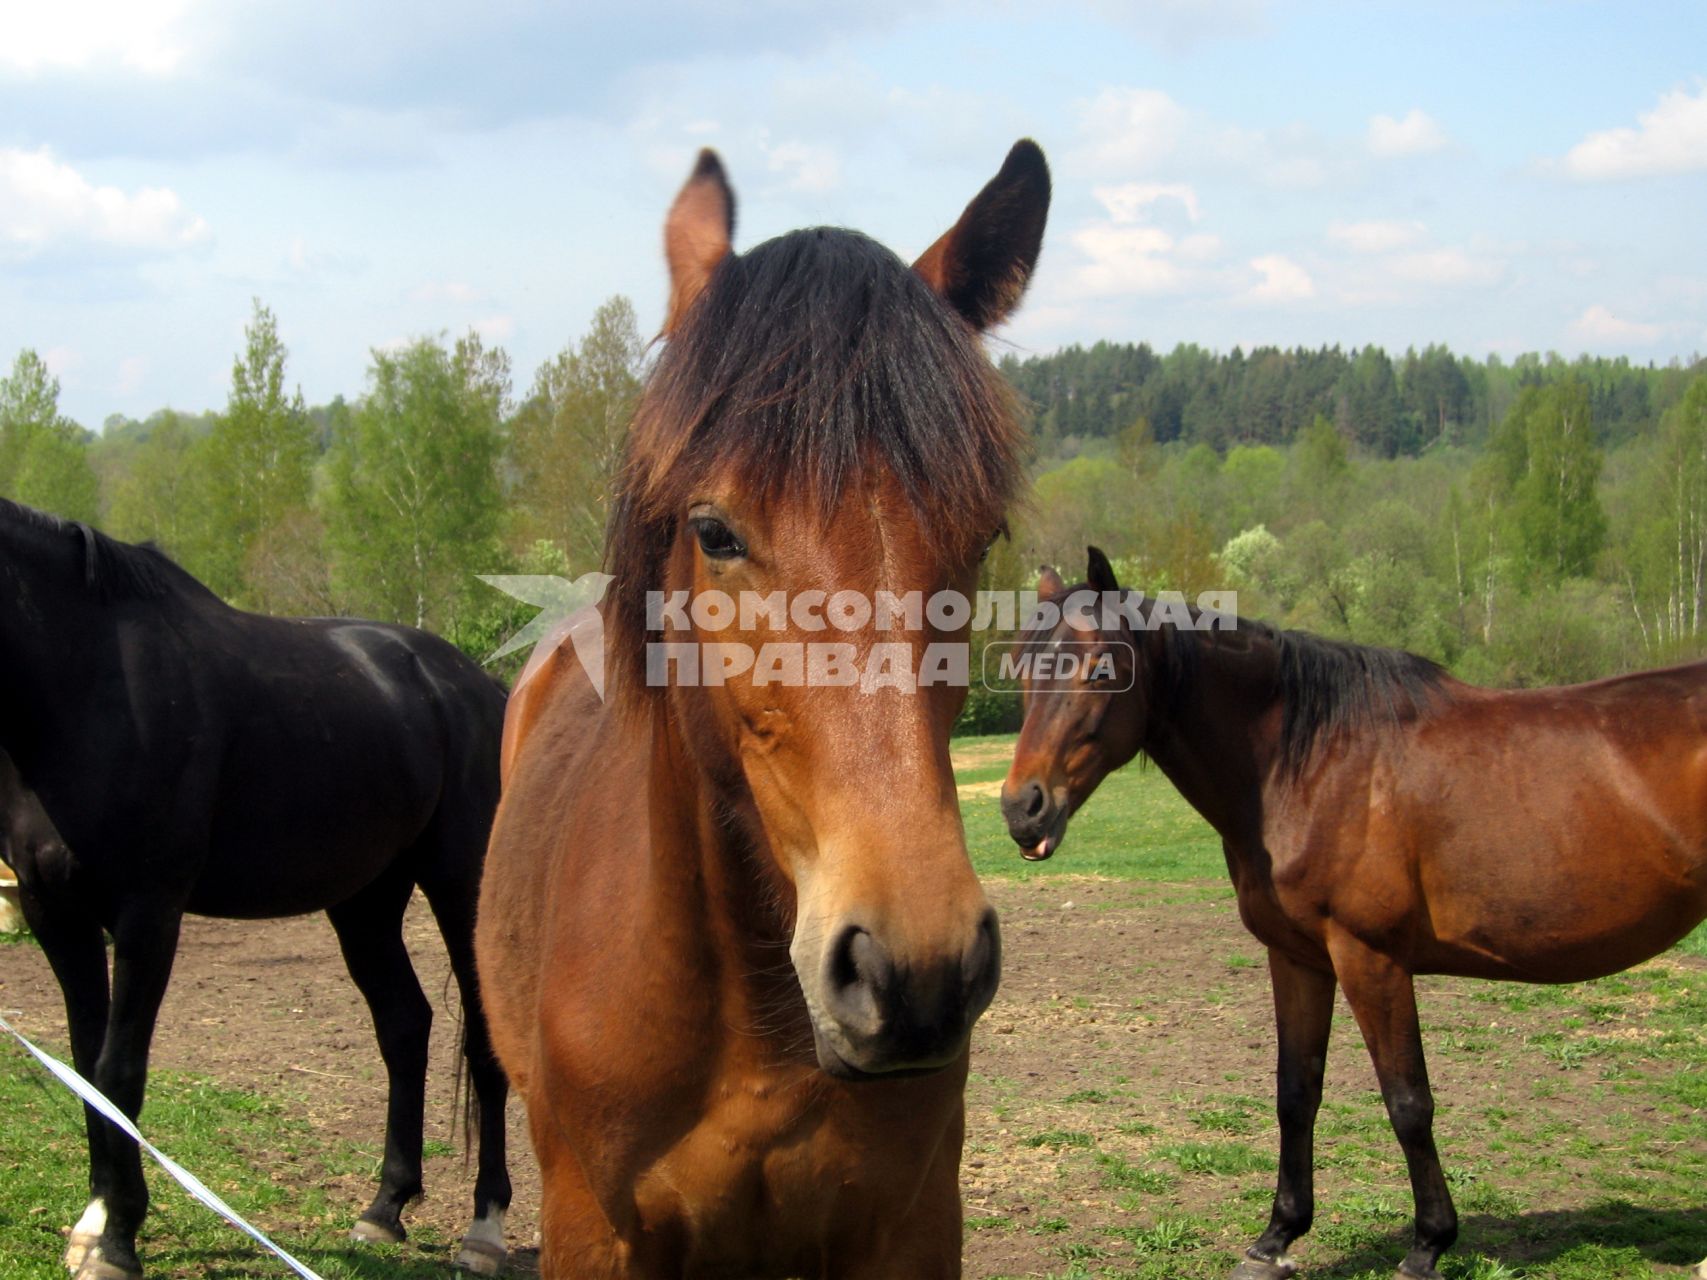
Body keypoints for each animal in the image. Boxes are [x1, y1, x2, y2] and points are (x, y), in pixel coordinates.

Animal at [0, 505, 505, 1280]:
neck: (83, 685)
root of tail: (479, 688)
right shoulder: (53, 910)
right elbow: (85, 1067)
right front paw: (94, 1225)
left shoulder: (147, 913)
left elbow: (118, 1069)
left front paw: (117, 1240)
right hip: (364, 902)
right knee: (404, 1024)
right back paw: (384, 1210)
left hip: (461, 887)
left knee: (481, 1038)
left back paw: (485, 1229)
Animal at [996, 549, 1707, 1280]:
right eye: (1020, 669)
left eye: (1100, 669)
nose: (1023, 809)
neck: (1311, 765)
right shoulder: (1298, 958)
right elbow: (1295, 1092)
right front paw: (1276, 1237)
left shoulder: (1370, 958)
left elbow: (1407, 1102)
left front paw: (1427, 1244)